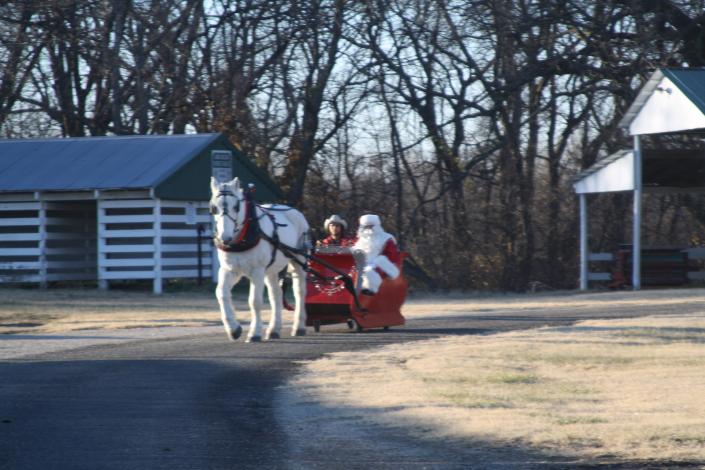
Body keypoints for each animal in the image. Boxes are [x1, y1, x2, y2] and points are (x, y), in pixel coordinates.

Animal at [209, 176, 308, 342]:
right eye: (214, 208)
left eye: (236, 207)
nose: (225, 238)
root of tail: (294, 211)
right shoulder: (230, 270)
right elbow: (221, 293)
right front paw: (233, 329)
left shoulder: (257, 270)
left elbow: (254, 301)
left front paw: (254, 333)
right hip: (271, 271)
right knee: (276, 295)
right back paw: (274, 329)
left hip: (298, 261)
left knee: (299, 292)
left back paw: (298, 326)